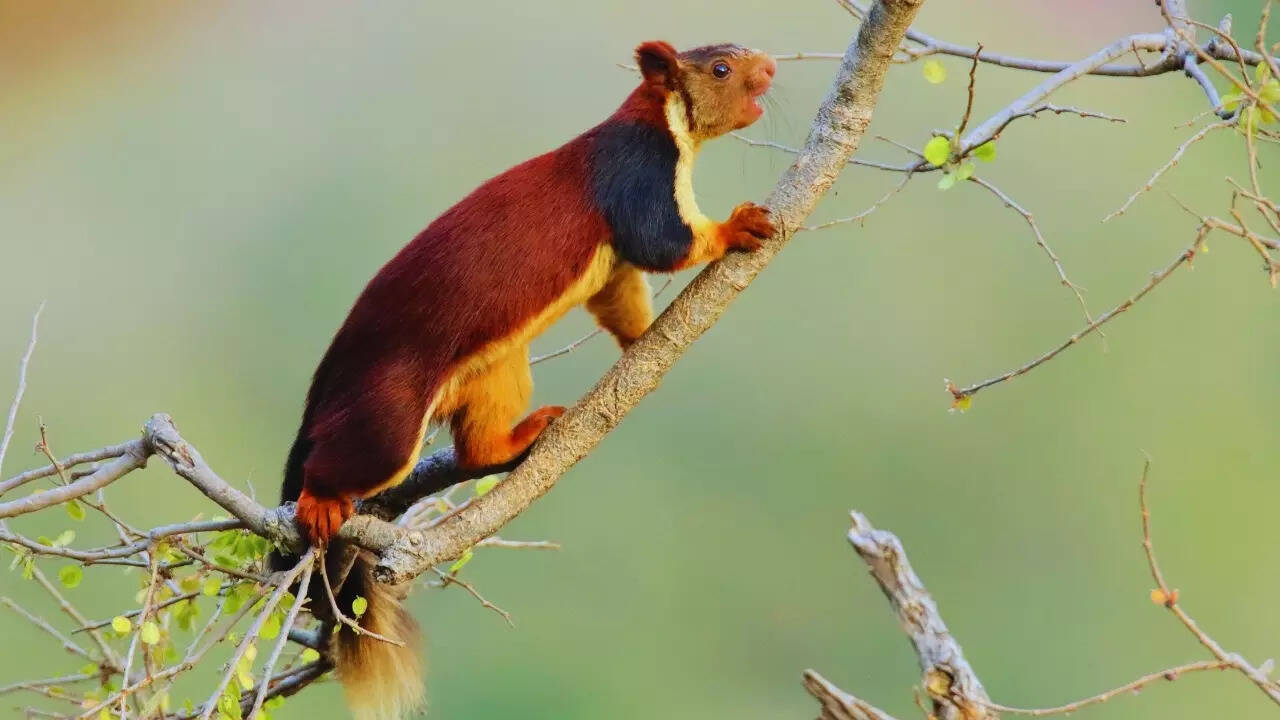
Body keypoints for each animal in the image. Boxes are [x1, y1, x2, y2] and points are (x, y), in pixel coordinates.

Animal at [272, 40, 777, 720]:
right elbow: (664, 244)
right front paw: (738, 226)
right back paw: (321, 500)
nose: (770, 67)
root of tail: (326, 380)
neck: (660, 123)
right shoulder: (638, 175)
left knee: (477, 448)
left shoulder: (613, 264)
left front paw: (646, 342)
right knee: (341, 458)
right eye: (720, 67)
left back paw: (525, 434)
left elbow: (622, 298)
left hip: (496, 371)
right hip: (388, 413)